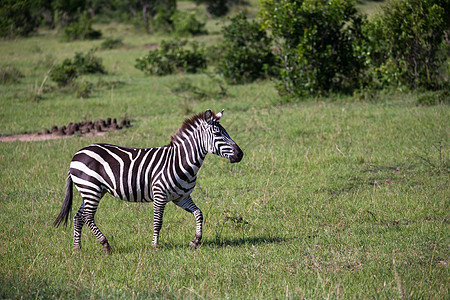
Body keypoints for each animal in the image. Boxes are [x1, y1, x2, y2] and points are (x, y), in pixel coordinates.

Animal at [54, 109, 244, 252]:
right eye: (218, 134)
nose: (240, 154)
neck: (180, 160)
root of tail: (77, 154)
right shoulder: (160, 194)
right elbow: (158, 222)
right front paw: (155, 246)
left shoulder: (181, 197)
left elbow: (199, 213)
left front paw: (196, 241)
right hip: (91, 188)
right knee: (87, 216)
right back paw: (105, 245)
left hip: (92, 191)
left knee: (79, 217)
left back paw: (77, 248)